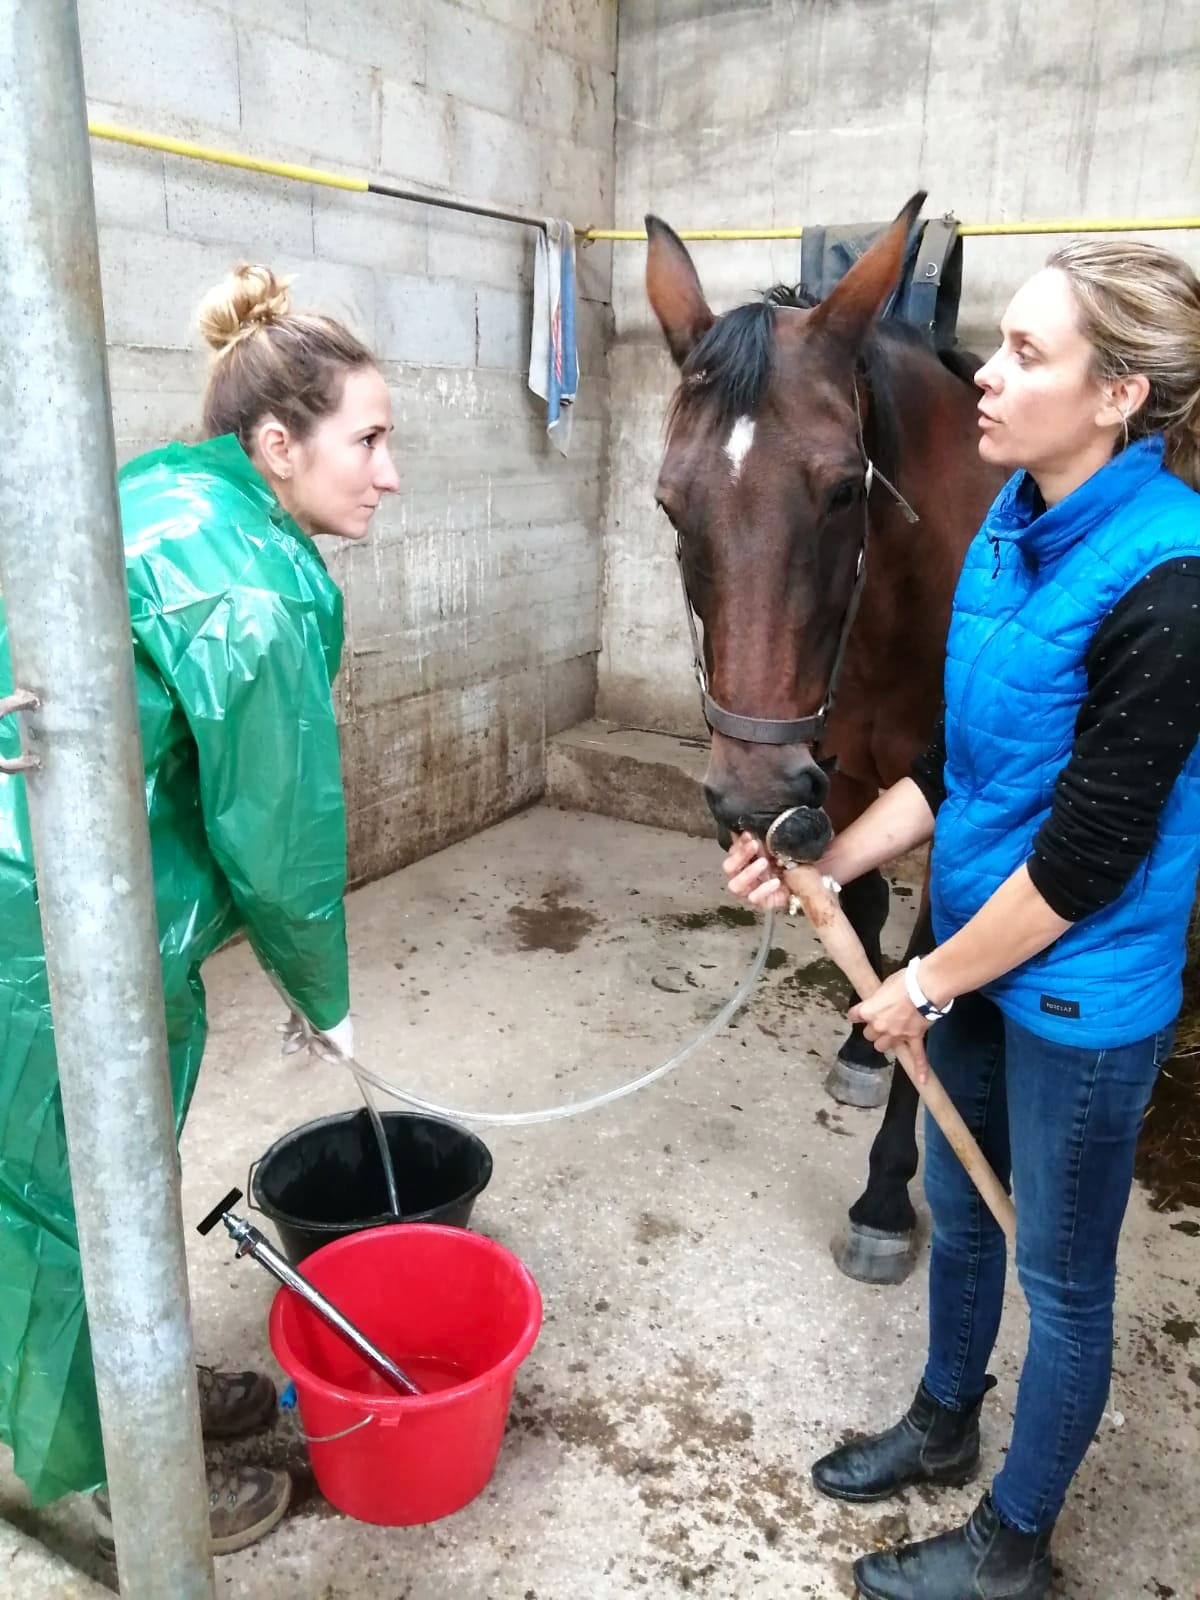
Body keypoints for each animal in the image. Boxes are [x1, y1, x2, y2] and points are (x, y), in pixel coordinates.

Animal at [644, 193, 1005, 1283]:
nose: (749, 799)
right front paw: (857, 1047)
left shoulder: (947, 790)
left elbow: (928, 958)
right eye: (671, 504)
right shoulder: (838, 769)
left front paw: (887, 1191)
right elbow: (865, 901)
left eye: (847, 489)